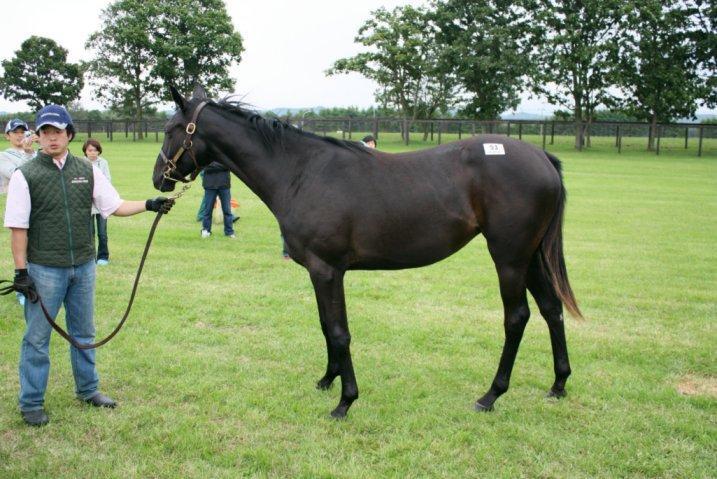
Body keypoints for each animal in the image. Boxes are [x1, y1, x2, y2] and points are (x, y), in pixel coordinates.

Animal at [152, 86, 580, 420]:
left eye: (172, 130)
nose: (159, 178)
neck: (301, 172)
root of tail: (542, 157)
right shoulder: (318, 272)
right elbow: (326, 326)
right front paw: (327, 380)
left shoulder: (327, 270)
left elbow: (340, 332)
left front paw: (345, 401)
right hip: (531, 256)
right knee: (551, 308)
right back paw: (558, 384)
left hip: (509, 258)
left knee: (517, 317)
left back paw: (490, 395)